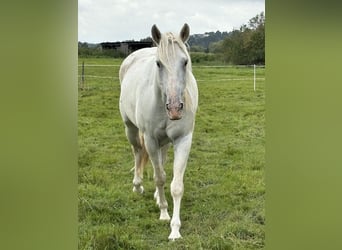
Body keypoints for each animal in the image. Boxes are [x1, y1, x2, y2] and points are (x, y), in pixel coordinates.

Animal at [119, 23, 198, 240]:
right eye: (158, 64)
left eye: (185, 62)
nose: (175, 108)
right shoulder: (151, 140)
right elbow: (159, 178)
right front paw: (163, 213)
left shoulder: (183, 140)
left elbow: (176, 185)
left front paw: (175, 229)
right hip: (131, 129)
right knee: (138, 153)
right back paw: (138, 185)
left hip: (164, 142)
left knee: (160, 161)